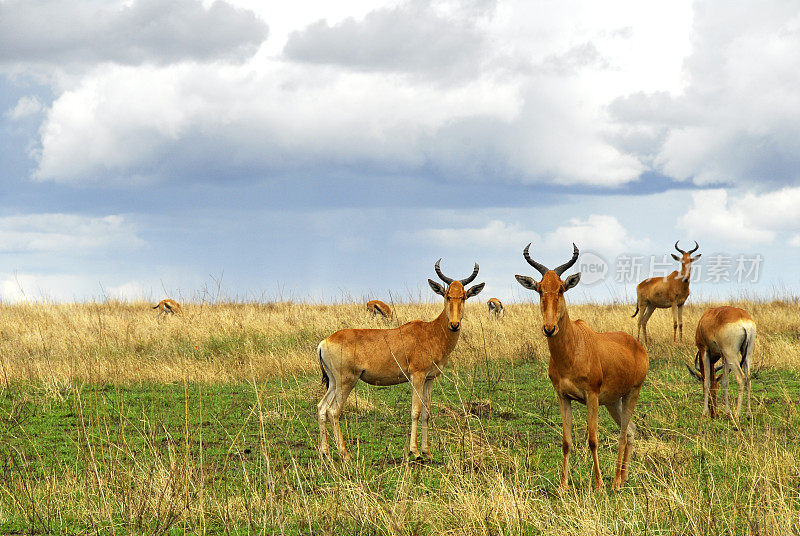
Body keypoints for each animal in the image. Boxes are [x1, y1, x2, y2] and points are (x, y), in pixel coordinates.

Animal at [318, 260, 482, 460]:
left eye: (464, 296)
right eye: (447, 295)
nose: (454, 325)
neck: (430, 331)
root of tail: (325, 342)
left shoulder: (429, 379)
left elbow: (427, 412)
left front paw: (427, 452)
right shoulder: (417, 376)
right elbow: (415, 411)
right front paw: (416, 452)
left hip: (334, 382)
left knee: (322, 408)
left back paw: (325, 453)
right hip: (346, 381)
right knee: (334, 411)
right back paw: (345, 454)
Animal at [512, 243, 648, 490]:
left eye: (561, 289)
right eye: (540, 289)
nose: (549, 328)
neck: (574, 345)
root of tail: (636, 345)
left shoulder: (591, 396)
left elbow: (592, 440)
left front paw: (599, 485)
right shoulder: (562, 396)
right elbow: (566, 441)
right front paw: (563, 486)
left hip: (632, 392)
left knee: (623, 434)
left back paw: (615, 482)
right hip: (613, 401)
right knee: (631, 431)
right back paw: (623, 478)